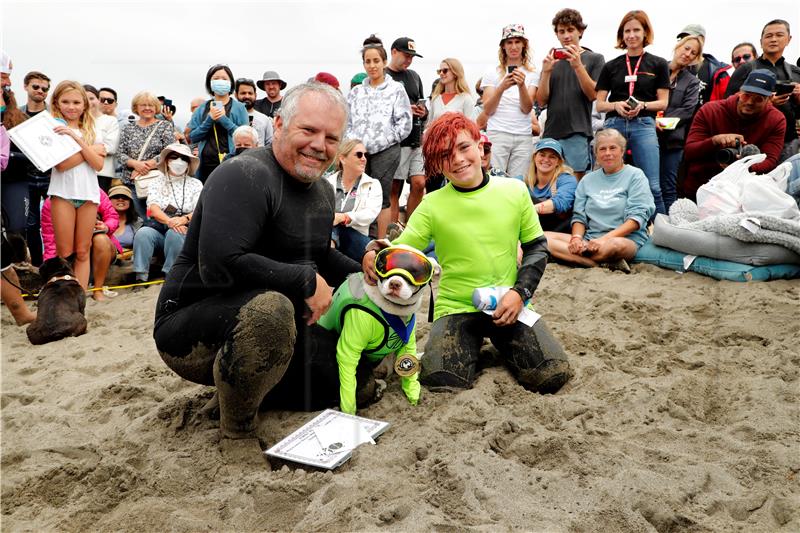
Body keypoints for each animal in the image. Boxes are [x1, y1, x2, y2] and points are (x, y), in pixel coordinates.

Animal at [318, 243, 438, 414]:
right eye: (383, 265)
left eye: (416, 272)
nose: (395, 283)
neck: (392, 310)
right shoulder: (349, 349)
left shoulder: (407, 343)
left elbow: (409, 370)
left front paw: (412, 391)